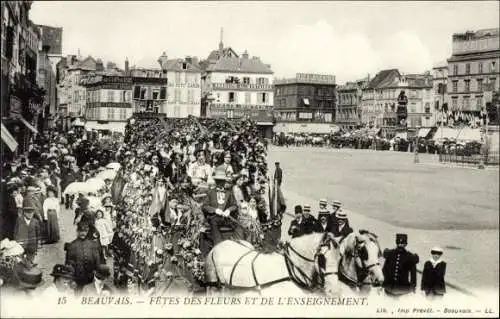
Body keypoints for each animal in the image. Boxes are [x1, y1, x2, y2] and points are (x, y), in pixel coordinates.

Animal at [205, 232, 342, 298]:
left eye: (340, 258)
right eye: (322, 258)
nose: (334, 292)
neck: (290, 270)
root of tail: (220, 244)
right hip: (212, 283)